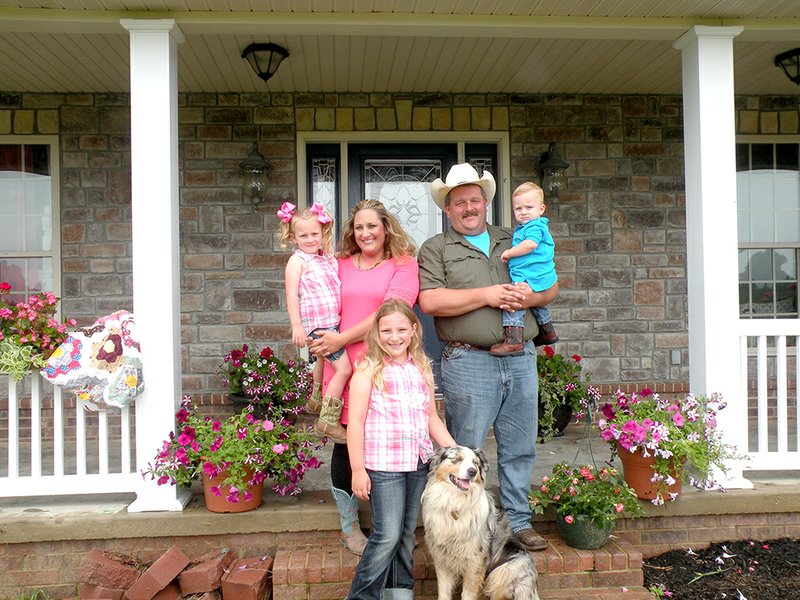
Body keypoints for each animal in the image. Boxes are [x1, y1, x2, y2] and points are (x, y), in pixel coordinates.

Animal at [422, 446, 540, 600]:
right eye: (457, 459)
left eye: (475, 463)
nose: (472, 472)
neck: (455, 503)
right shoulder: (441, 557)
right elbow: (443, 591)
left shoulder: (475, 560)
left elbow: (467, 593)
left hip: (504, 572)